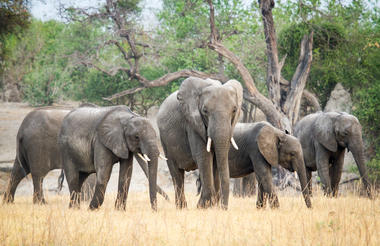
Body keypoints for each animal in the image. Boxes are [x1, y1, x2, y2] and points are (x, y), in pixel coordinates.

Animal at [157, 76, 243, 209]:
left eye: (234, 110)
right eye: (205, 111)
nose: (224, 208)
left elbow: (216, 160)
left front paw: (211, 206)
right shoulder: (192, 123)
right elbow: (204, 156)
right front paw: (203, 207)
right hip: (164, 140)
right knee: (176, 172)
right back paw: (182, 208)